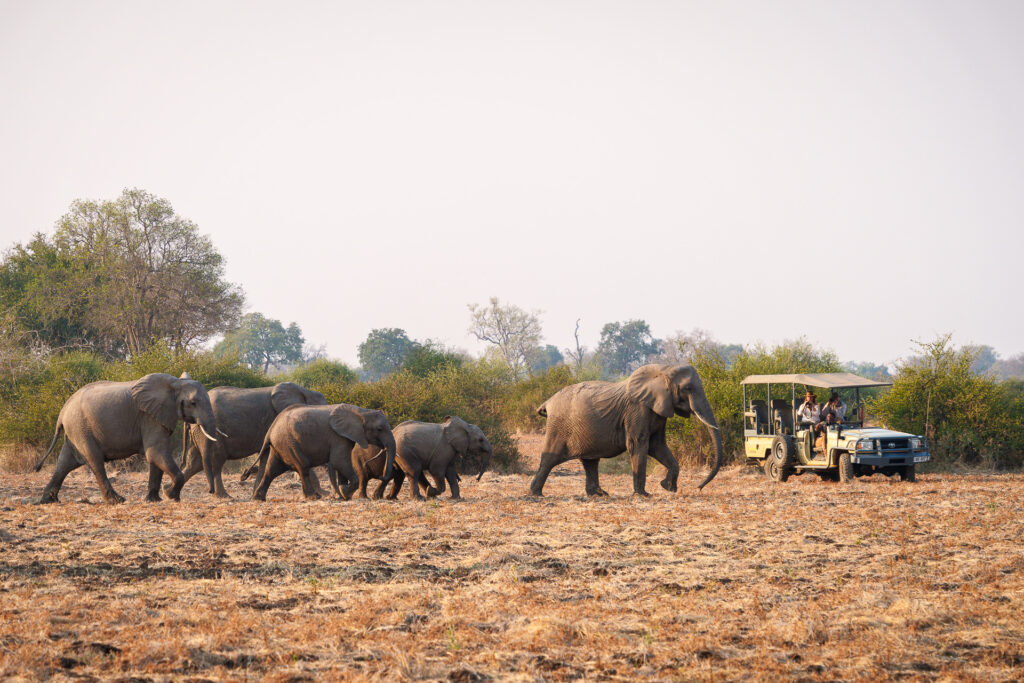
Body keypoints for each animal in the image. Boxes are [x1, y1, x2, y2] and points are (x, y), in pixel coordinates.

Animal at [33, 372, 219, 504]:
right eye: (193, 403)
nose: (210, 492)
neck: (175, 383)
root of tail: (62, 411)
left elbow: (155, 456)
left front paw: (154, 500)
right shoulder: (149, 417)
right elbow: (156, 453)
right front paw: (170, 495)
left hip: (75, 430)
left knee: (65, 462)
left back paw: (49, 500)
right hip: (81, 428)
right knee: (95, 461)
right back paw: (117, 500)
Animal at [179, 382, 327, 498]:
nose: (244, 475)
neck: (305, 391)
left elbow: (266, 459)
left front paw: (255, 494)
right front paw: (324, 494)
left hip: (199, 432)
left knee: (195, 463)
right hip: (210, 431)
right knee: (216, 461)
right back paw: (224, 496)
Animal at [246, 403, 397, 501]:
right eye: (379, 429)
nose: (381, 475)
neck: (361, 411)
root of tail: (271, 429)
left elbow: (340, 464)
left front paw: (342, 494)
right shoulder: (338, 436)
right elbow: (339, 461)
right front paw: (344, 492)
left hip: (281, 445)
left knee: (271, 470)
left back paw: (258, 499)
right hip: (289, 443)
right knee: (303, 467)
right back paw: (313, 497)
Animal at [345, 416, 492, 500]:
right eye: (480, 440)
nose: (477, 479)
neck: (465, 425)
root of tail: (394, 432)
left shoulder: (450, 451)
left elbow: (450, 472)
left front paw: (455, 499)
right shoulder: (442, 450)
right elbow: (437, 471)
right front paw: (431, 492)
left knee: (405, 474)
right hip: (404, 452)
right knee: (413, 471)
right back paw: (418, 498)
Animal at [529, 364, 722, 497]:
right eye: (688, 388)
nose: (699, 487)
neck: (664, 370)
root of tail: (548, 402)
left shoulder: (659, 410)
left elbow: (657, 446)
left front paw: (667, 487)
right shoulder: (637, 410)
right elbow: (638, 444)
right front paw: (643, 495)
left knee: (590, 461)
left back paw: (599, 494)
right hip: (559, 427)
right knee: (550, 459)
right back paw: (536, 493)